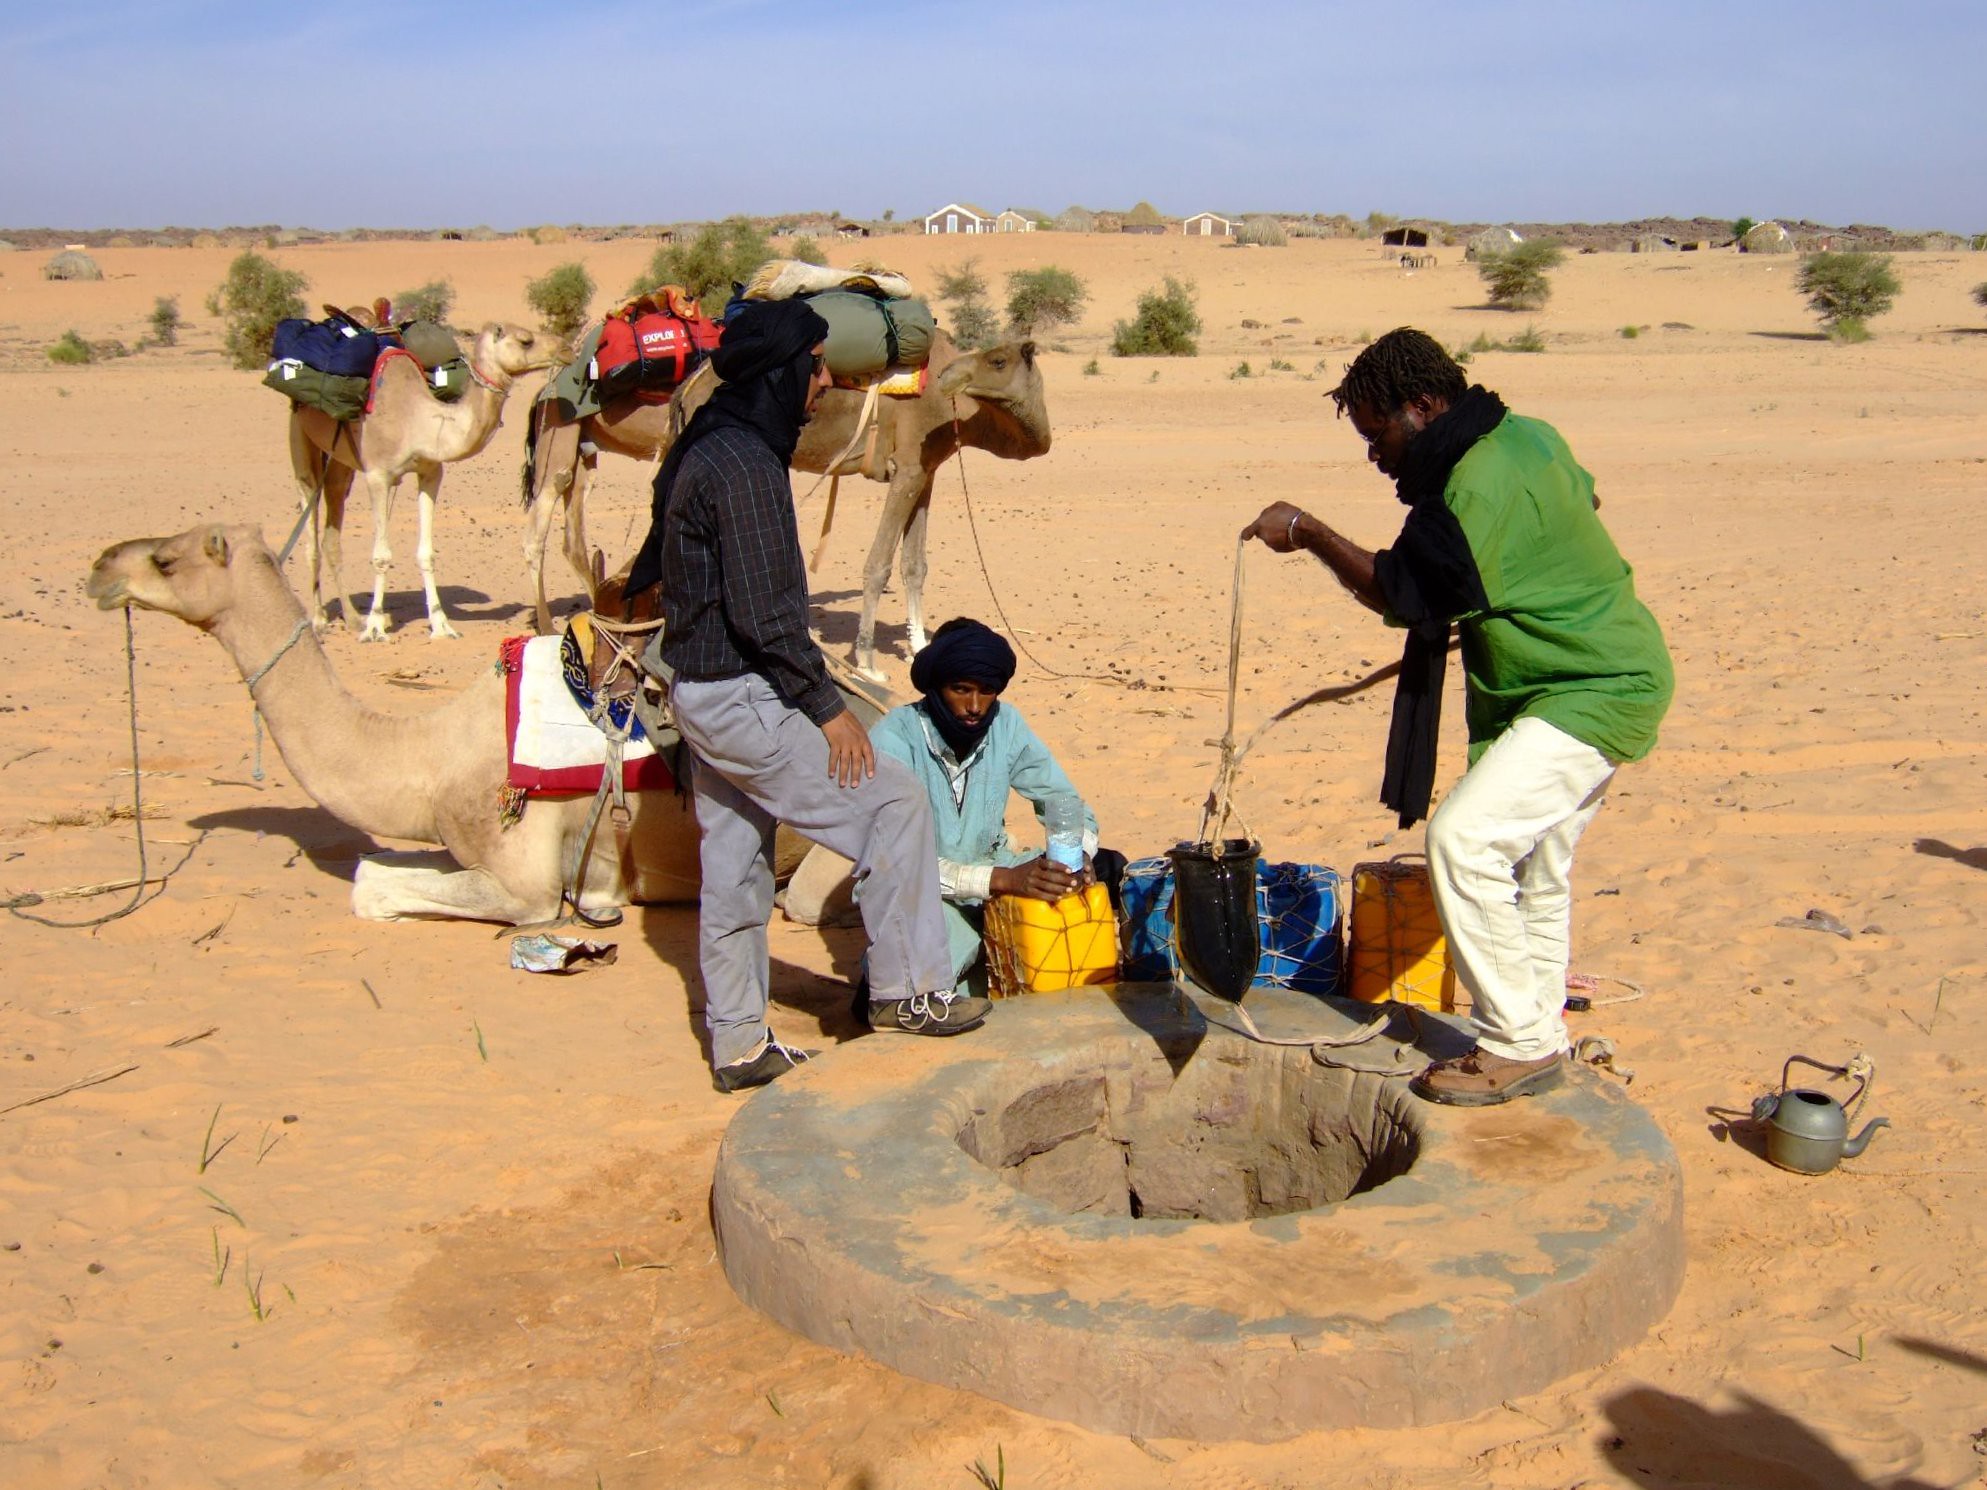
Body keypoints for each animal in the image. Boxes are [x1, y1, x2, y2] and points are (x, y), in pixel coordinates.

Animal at [85, 520, 854, 921]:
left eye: (165, 559)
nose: (99, 567)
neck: (428, 757)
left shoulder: (523, 882)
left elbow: (371, 888)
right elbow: (375, 870)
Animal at [288, 321, 556, 643]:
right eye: (525, 341)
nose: (564, 347)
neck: (416, 419)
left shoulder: (430, 472)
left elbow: (426, 553)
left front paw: (441, 625)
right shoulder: (378, 475)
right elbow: (381, 555)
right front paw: (376, 627)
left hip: (342, 462)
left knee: (332, 527)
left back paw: (353, 618)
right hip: (300, 435)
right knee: (310, 525)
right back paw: (318, 621)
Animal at [524, 333, 1057, 683]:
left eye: (998, 360)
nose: (947, 378)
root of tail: (689, 385)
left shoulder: (925, 470)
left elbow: (914, 564)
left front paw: (920, 646)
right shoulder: (907, 467)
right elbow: (878, 565)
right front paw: (867, 663)